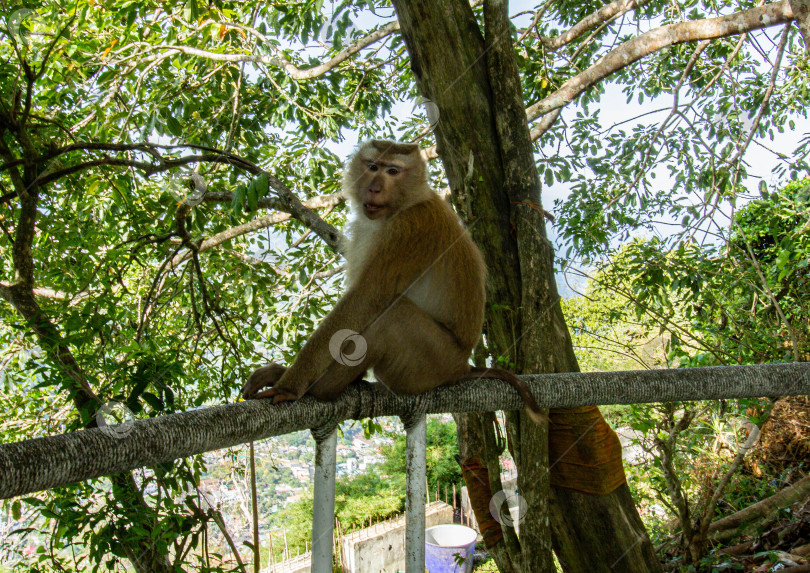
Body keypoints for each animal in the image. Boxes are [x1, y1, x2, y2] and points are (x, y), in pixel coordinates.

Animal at [243, 139, 540, 416]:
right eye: (373, 166)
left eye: (393, 171)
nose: (374, 188)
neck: (406, 203)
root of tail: (462, 368)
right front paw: (283, 374)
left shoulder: (409, 229)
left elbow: (363, 301)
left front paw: (289, 385)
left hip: (432, 365)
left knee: (390, 319)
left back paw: (322, 389)